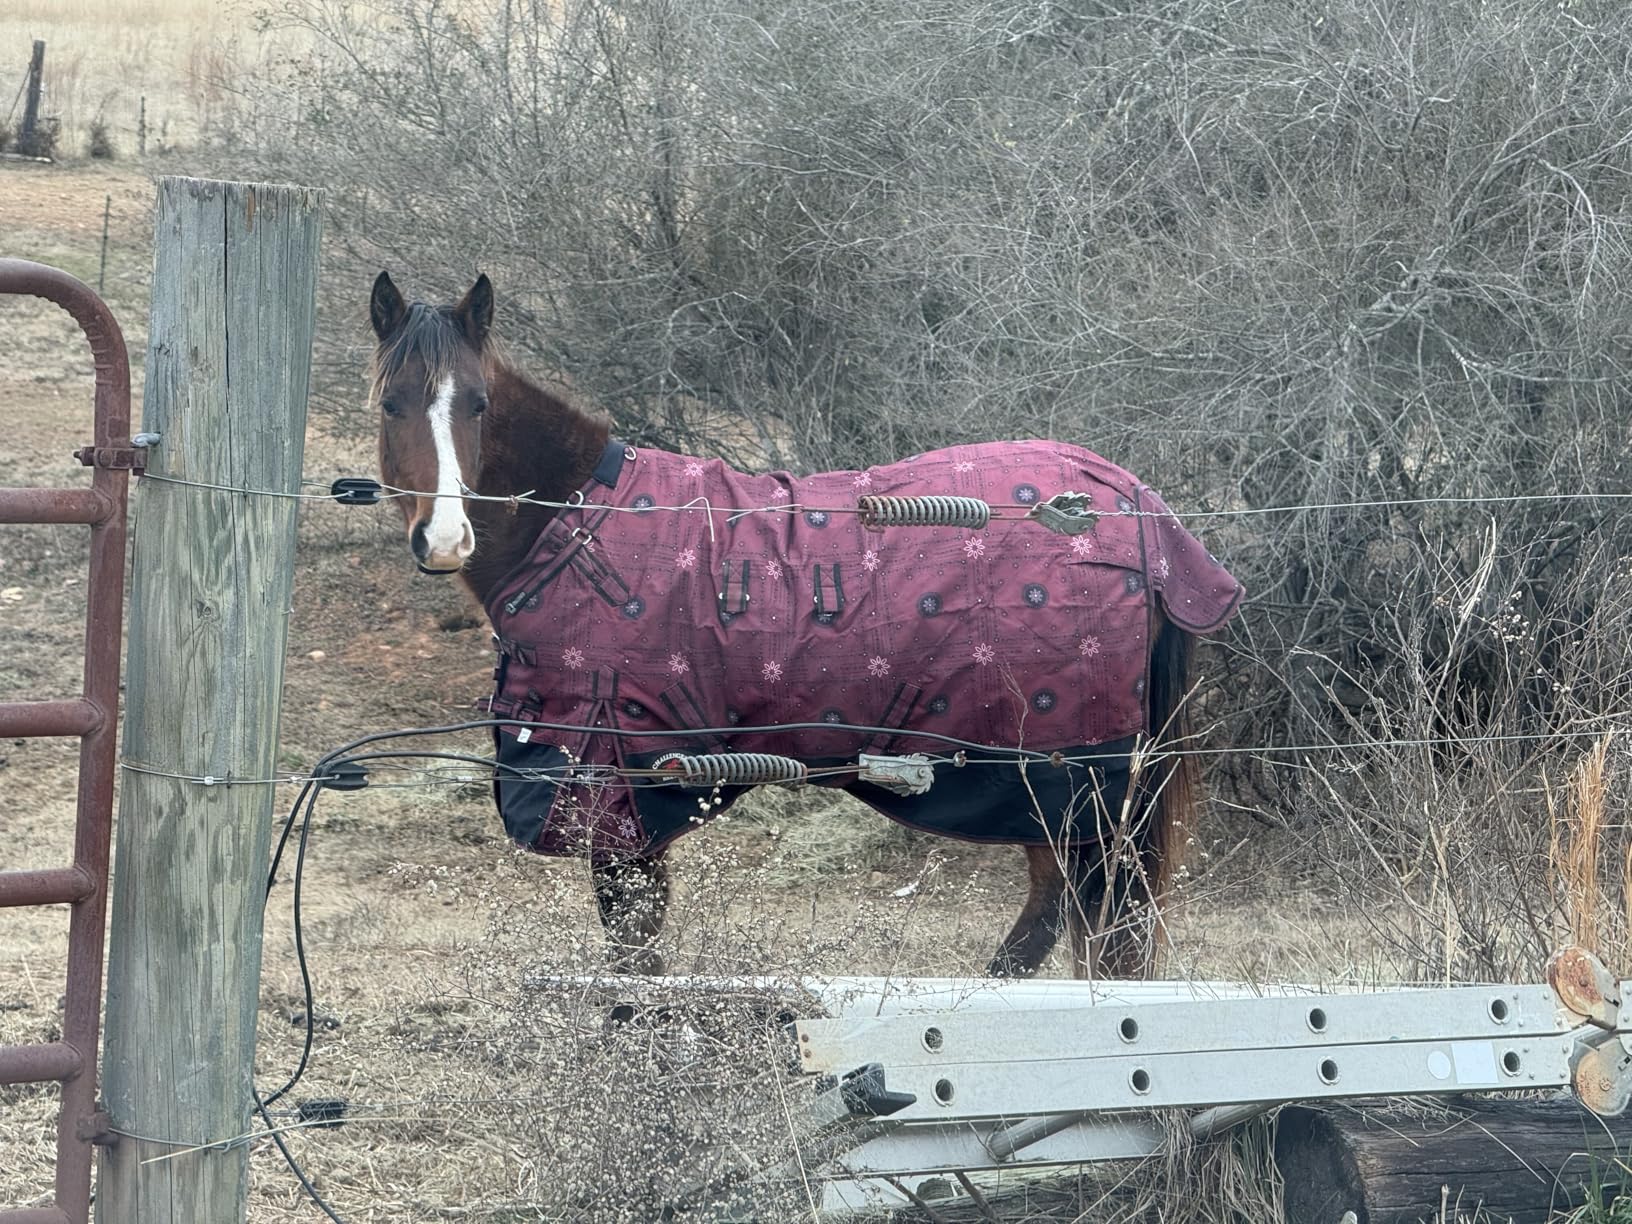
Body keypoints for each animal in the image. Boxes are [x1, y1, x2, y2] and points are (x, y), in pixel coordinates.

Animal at [368, 271, 1243, 979]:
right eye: (389, 403)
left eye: (478, 405)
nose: (444, 538)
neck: (577, 516)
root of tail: (1136, 508)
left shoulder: (617, 798)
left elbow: (634, 955)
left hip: (1063, 773)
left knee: (1077, 910)